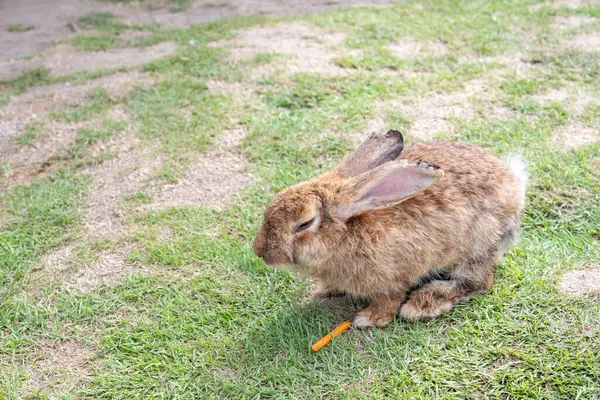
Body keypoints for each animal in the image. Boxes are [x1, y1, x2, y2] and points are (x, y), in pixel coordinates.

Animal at [251, 130, 528, 326]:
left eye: (305, 224)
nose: (259, 251)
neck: (345, 236)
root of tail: (514, 185)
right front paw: (325, 291)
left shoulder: (395, 276)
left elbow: (390, 298)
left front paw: (369, 319)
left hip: (476, 245)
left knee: (478, 281)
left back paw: (423, 304)